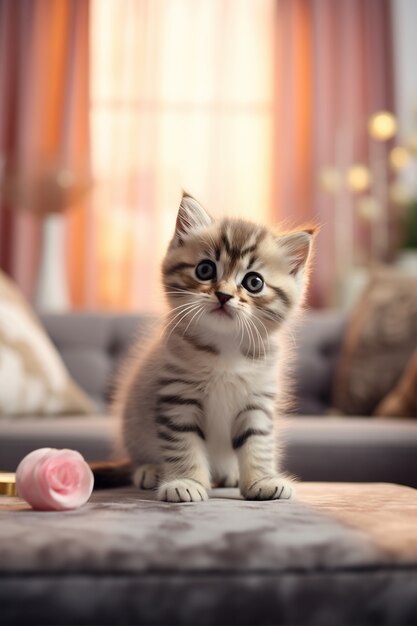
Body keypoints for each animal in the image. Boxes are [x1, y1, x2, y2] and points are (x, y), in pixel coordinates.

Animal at [112, 193, 314, 500]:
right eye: (205, 269)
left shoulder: (257, 401)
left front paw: (262, 480)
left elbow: (257, 444)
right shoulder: (178, 397)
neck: (225, 348)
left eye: (254, 282)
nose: (223, 295)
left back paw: (230, 474)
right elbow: (183, 444)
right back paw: (150, 470)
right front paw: (185, 482)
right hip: (134, 425)